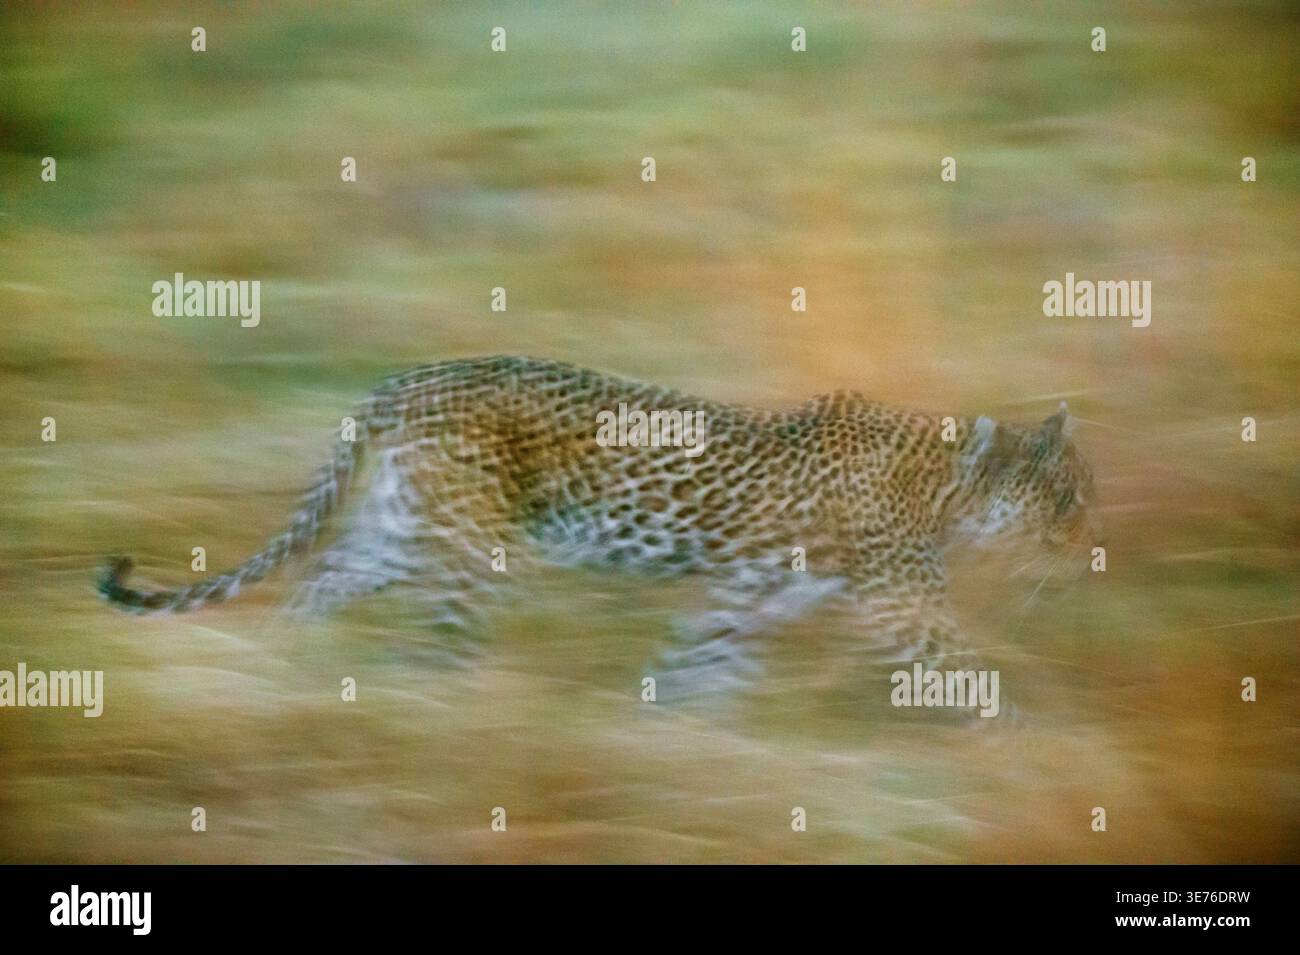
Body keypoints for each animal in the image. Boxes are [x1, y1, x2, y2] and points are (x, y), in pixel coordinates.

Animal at [99, 355, 1099, 698]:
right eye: (1065, 497)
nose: (1084, 545)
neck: (947, 486)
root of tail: (406, 378)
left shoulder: (754, 593)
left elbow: (705, 663)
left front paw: (679, 740)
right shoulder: (906, 609)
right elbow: (976, 682)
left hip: (404, 527)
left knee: (322, 576)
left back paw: (284, 673)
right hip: (466, 550)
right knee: (435, 642)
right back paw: (432, 723)